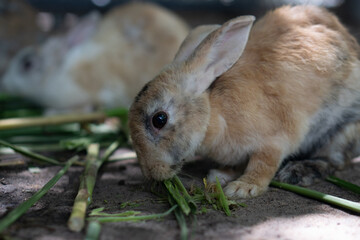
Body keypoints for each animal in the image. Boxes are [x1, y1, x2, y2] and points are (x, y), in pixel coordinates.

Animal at [129, 5, 360, 199]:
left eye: (159, 119)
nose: (150, 172)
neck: (214, 113)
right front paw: (220, 174)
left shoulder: (275, 141)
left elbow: (262, 165)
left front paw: (243, 188)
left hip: (341, 130)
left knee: (333, 160)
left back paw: (298, 171)